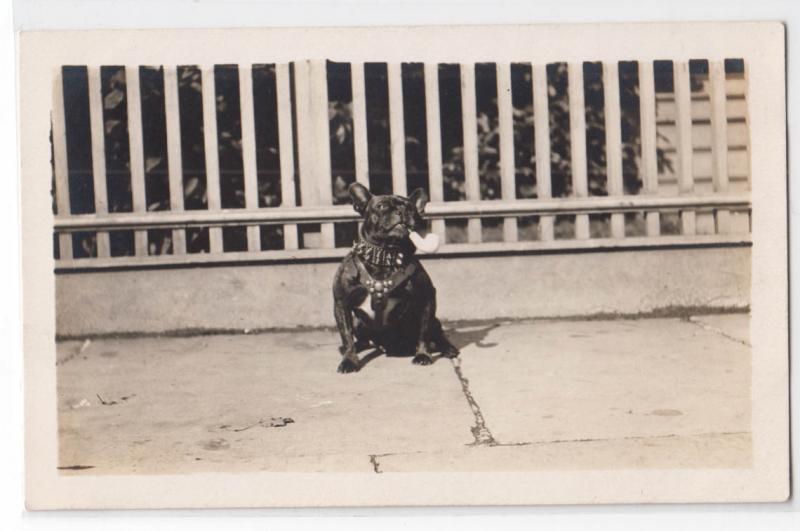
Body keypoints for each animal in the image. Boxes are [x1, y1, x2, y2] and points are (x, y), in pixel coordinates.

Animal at [330, 183, 456, 374]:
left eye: (411, 208)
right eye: (381, 206)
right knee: (361, 339)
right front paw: (349, 360)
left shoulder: (426, 299)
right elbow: (346, 335)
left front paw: (423, 355)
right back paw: (353, 348)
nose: (401, 211)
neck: (385, 255)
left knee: (437, 333)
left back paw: (448, 348)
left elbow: (424, 332)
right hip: (359, 324)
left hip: (434, 321)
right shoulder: (341, 303)